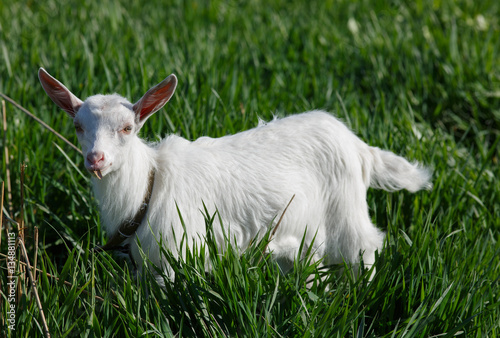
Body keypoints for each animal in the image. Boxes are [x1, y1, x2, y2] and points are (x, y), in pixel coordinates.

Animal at [39, 68, 432, 280]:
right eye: (78, 126)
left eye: (127, 128)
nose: (96, 159)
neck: (149, 185)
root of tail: (357, 145)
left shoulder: (180, 252)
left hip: (347, 212)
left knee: (366, 247)